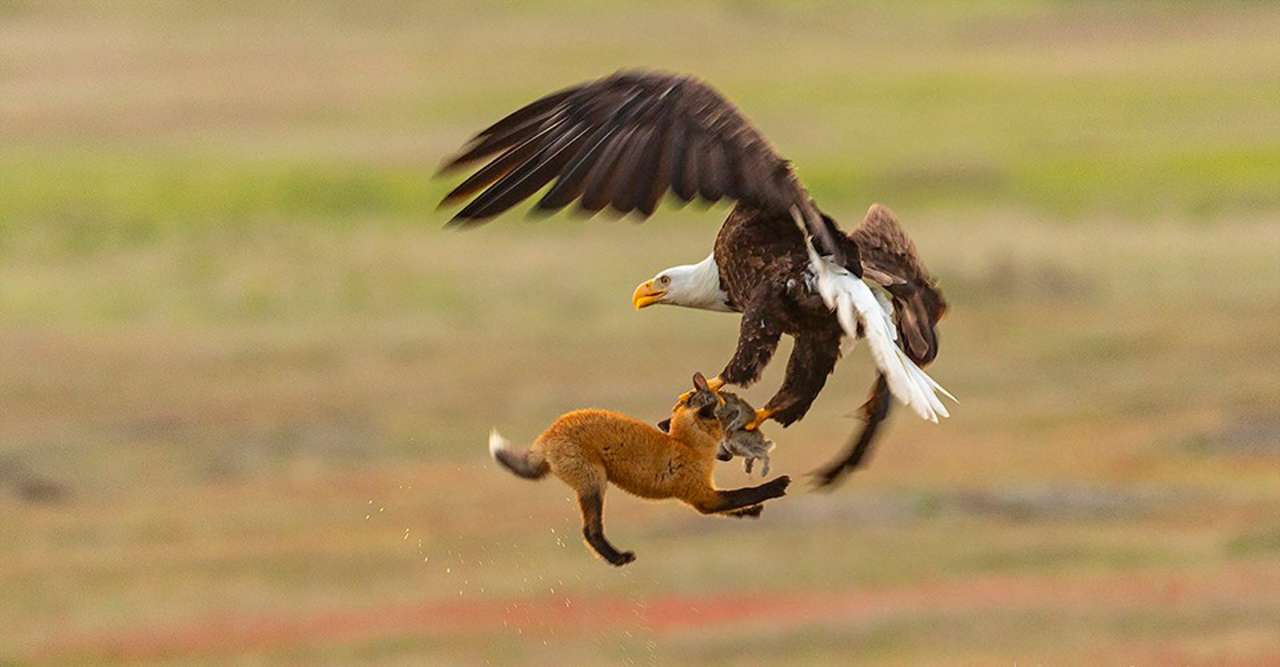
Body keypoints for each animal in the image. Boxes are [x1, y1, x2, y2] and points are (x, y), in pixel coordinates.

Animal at [489, 373, 792, 566]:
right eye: (724, 424)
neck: (685, 445)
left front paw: (751, 512)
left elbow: (733, 506)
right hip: (594, 484)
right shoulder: (700, 495)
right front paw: (776, 486)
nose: (729, 452)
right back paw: (617, 559)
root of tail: (548, 433)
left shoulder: (705, 495)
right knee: (590, 531)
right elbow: (744, 493)